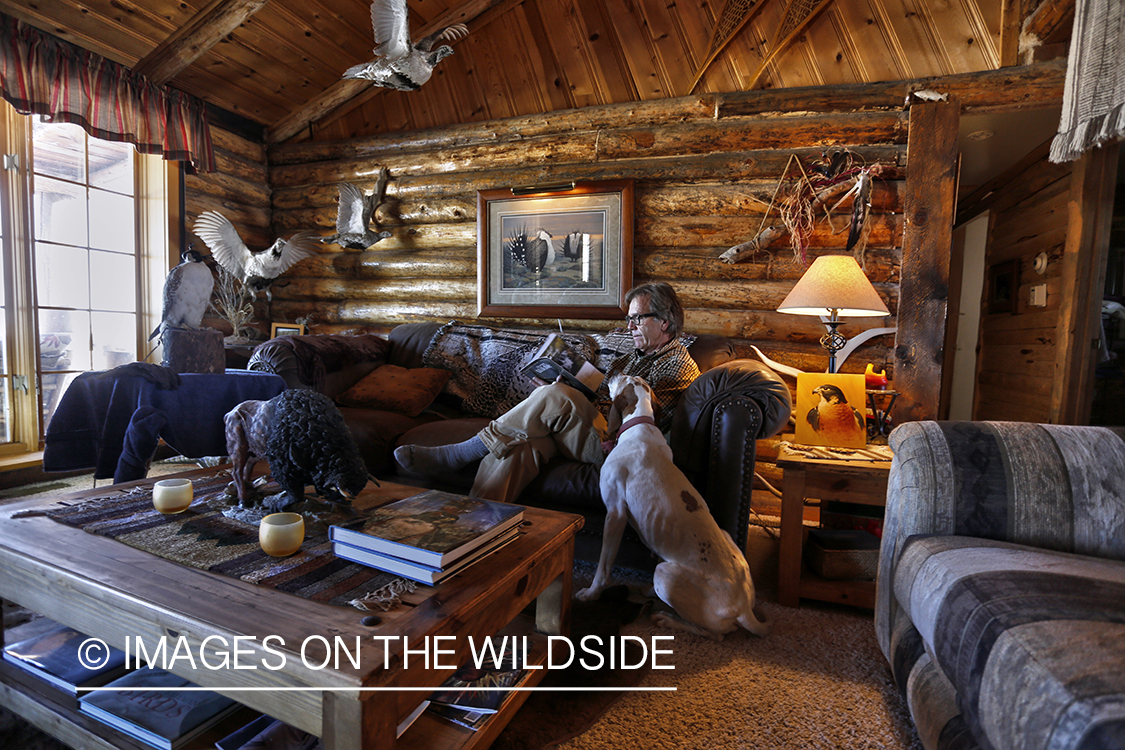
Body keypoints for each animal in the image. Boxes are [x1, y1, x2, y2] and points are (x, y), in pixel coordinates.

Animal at [576, 373, 769, 638]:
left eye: (624, 377)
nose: (613, 374)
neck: (640, 424)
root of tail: (743, 608)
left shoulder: (615, 514)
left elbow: (603, 566)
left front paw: (591, 594)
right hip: (724, 538)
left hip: (666, 576)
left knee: (714, 633)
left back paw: (667, 619)